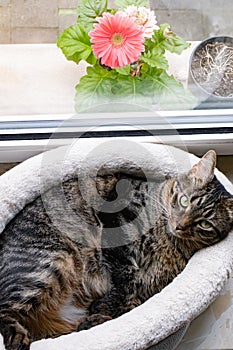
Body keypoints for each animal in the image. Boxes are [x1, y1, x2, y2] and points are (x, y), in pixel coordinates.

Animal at [0, 149, 233, 348]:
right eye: (184, 201)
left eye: (205, 224)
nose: (180, 225)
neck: (168, 241)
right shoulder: (118, 229)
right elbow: (124, 282)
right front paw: (105, 306)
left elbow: (129, 300)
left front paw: (100, 313)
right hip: (52, 263)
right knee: (4, 308)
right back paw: (18, 338)